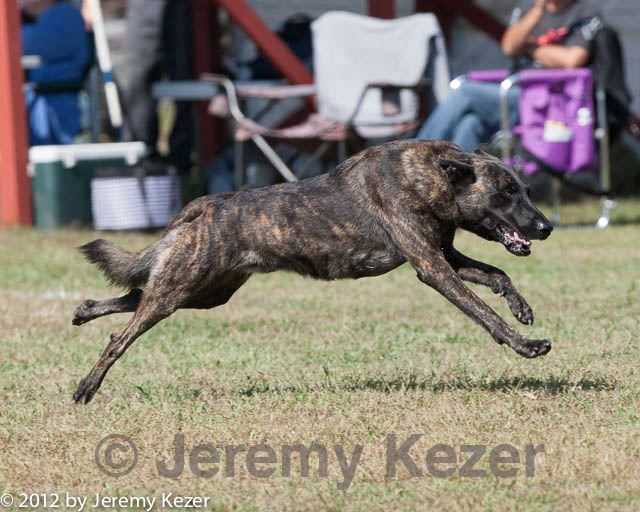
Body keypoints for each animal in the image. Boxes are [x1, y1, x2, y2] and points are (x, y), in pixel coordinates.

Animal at [72, 141, 556, 404]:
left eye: (526, 189)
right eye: (505, 192)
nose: (547, 227)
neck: (432, 175)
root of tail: (202, 206)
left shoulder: (445, 254)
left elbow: (498, 275)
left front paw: (522, 308)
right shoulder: (432, 266)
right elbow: (483, 313)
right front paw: (525, 345)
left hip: (206, 291)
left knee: (134, 295)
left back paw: (84, 310)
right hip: (183, 287)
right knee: (122, 334)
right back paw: (86, 387)